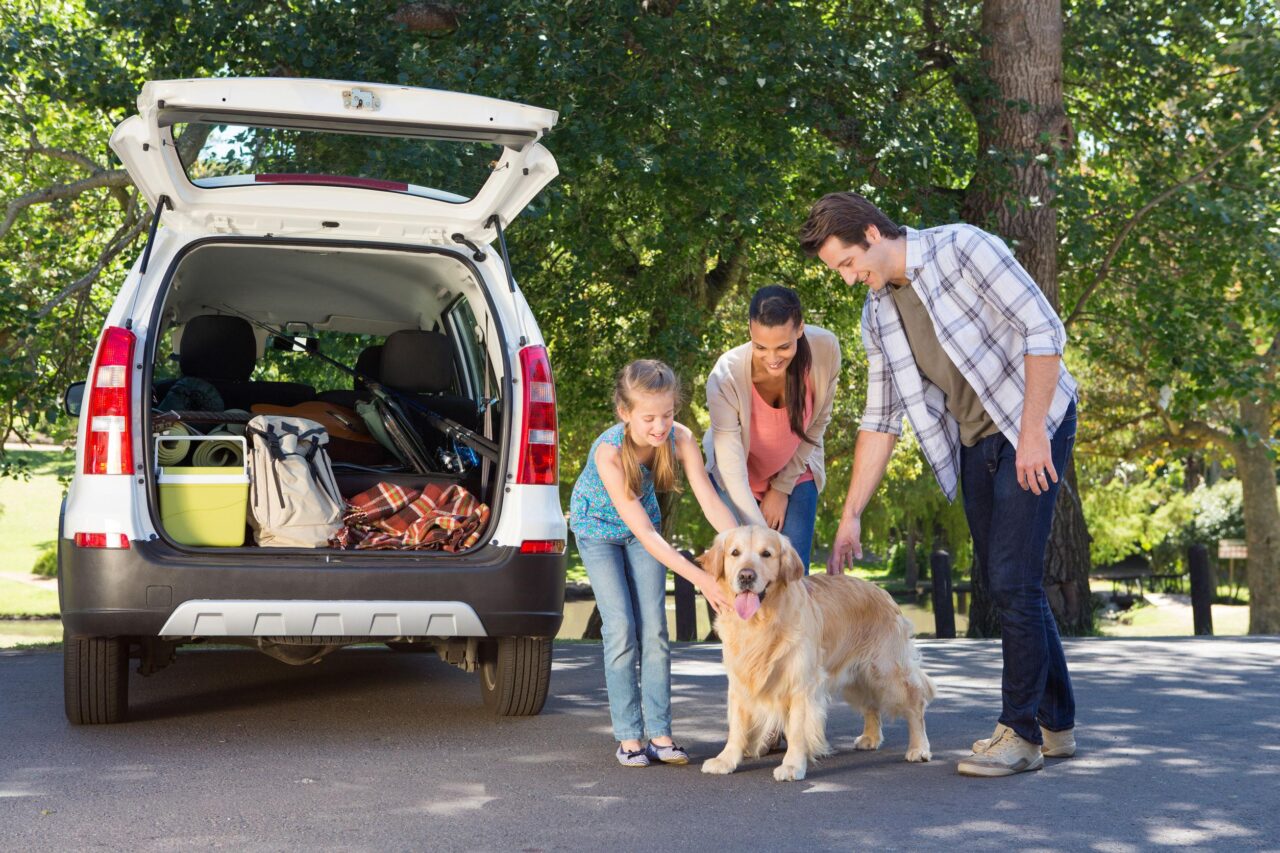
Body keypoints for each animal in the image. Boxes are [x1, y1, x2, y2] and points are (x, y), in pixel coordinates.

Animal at [696, 522, 936, 778]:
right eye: (735, 553)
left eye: (766, 554)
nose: (746, 576)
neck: (761, 622)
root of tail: (883, 592)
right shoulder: (740, 679)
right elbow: (737, 725)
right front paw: (726, 759)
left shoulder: (802, 683)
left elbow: (797, 729)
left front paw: (792, 765)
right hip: (857, 675)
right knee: (871, 704)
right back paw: (870, 737)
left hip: (886, 669)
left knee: (915, 703)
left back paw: (919, 748)